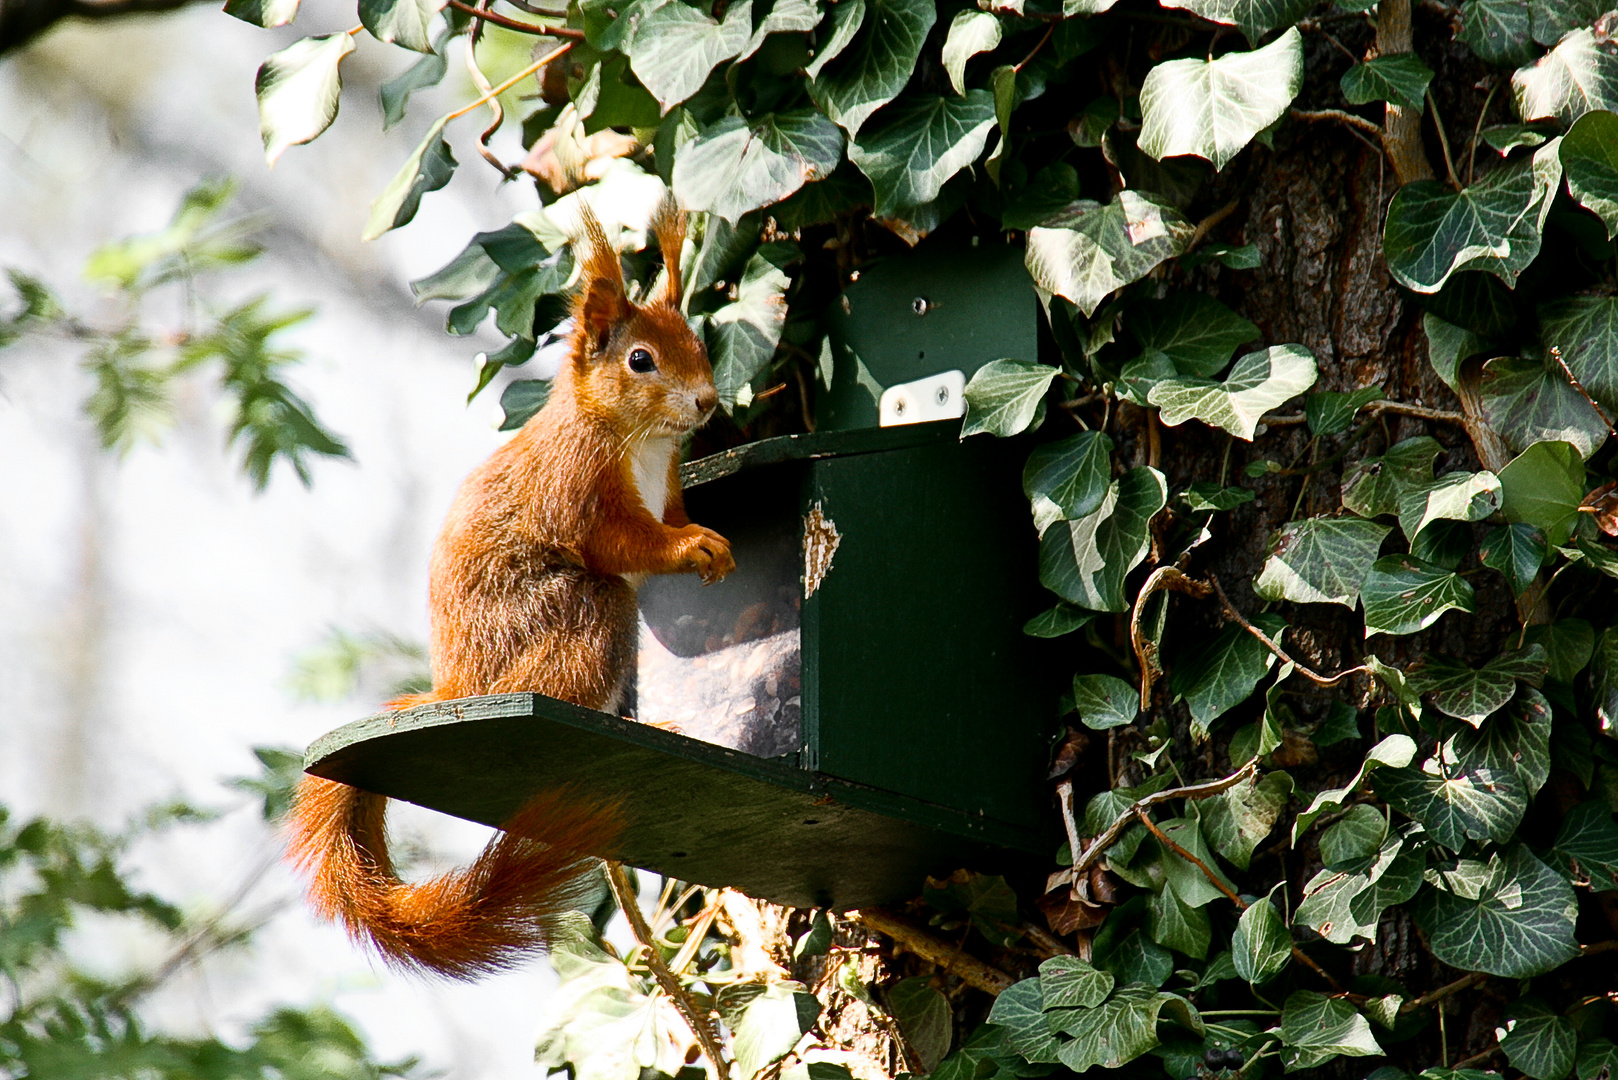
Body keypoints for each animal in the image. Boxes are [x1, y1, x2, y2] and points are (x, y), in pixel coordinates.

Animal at [292, 200, 741, 977]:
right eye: (641, 360)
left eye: (699, 344)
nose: (708, 402)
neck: (641, 440)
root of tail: (462, 689)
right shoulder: (576, 484)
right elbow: (624, 544)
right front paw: (694, 548)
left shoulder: (666, 487)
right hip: (575, 616)